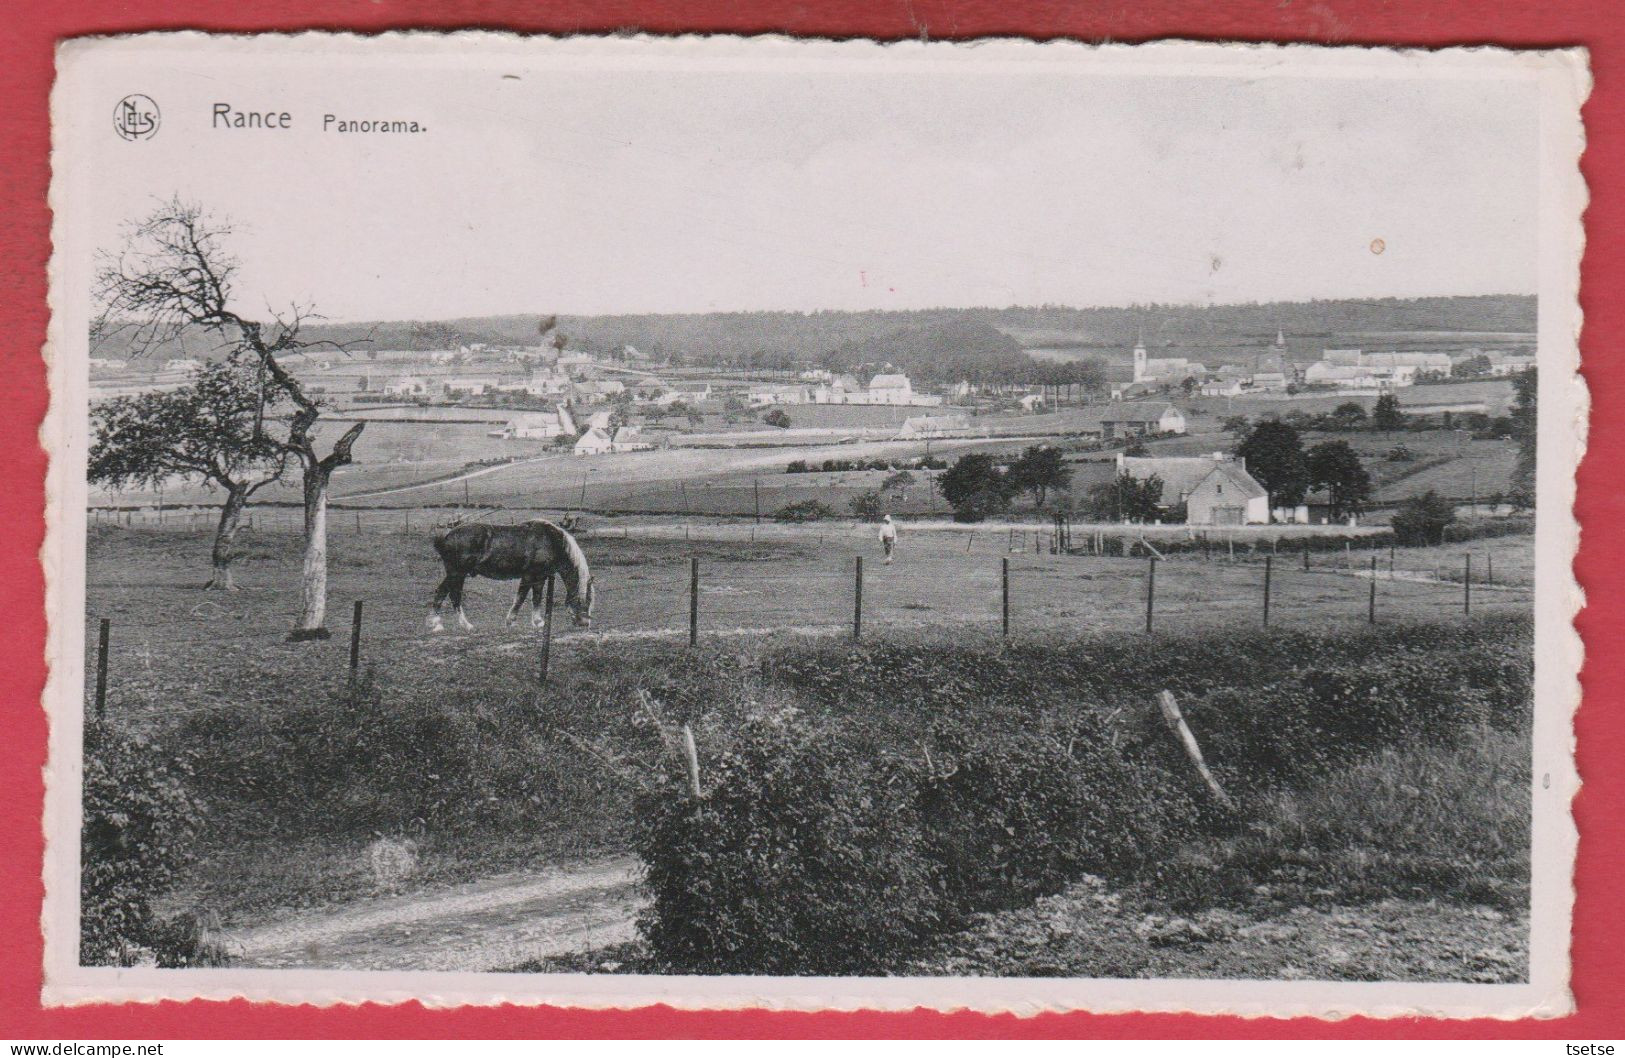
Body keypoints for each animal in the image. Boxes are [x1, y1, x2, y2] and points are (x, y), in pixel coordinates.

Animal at [425, 520, 598, 633]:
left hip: (456, 574)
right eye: (585, 600)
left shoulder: (540, 577)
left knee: (447, 594)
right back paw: (455, 625)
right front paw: (511, 622)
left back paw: (446, 624)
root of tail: (447, 536)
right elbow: (520, 598)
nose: (585, 624)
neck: (550, 541)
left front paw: (538, 622)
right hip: (457, 573)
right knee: (449, 594)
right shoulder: (529, 576)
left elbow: (537, 598)